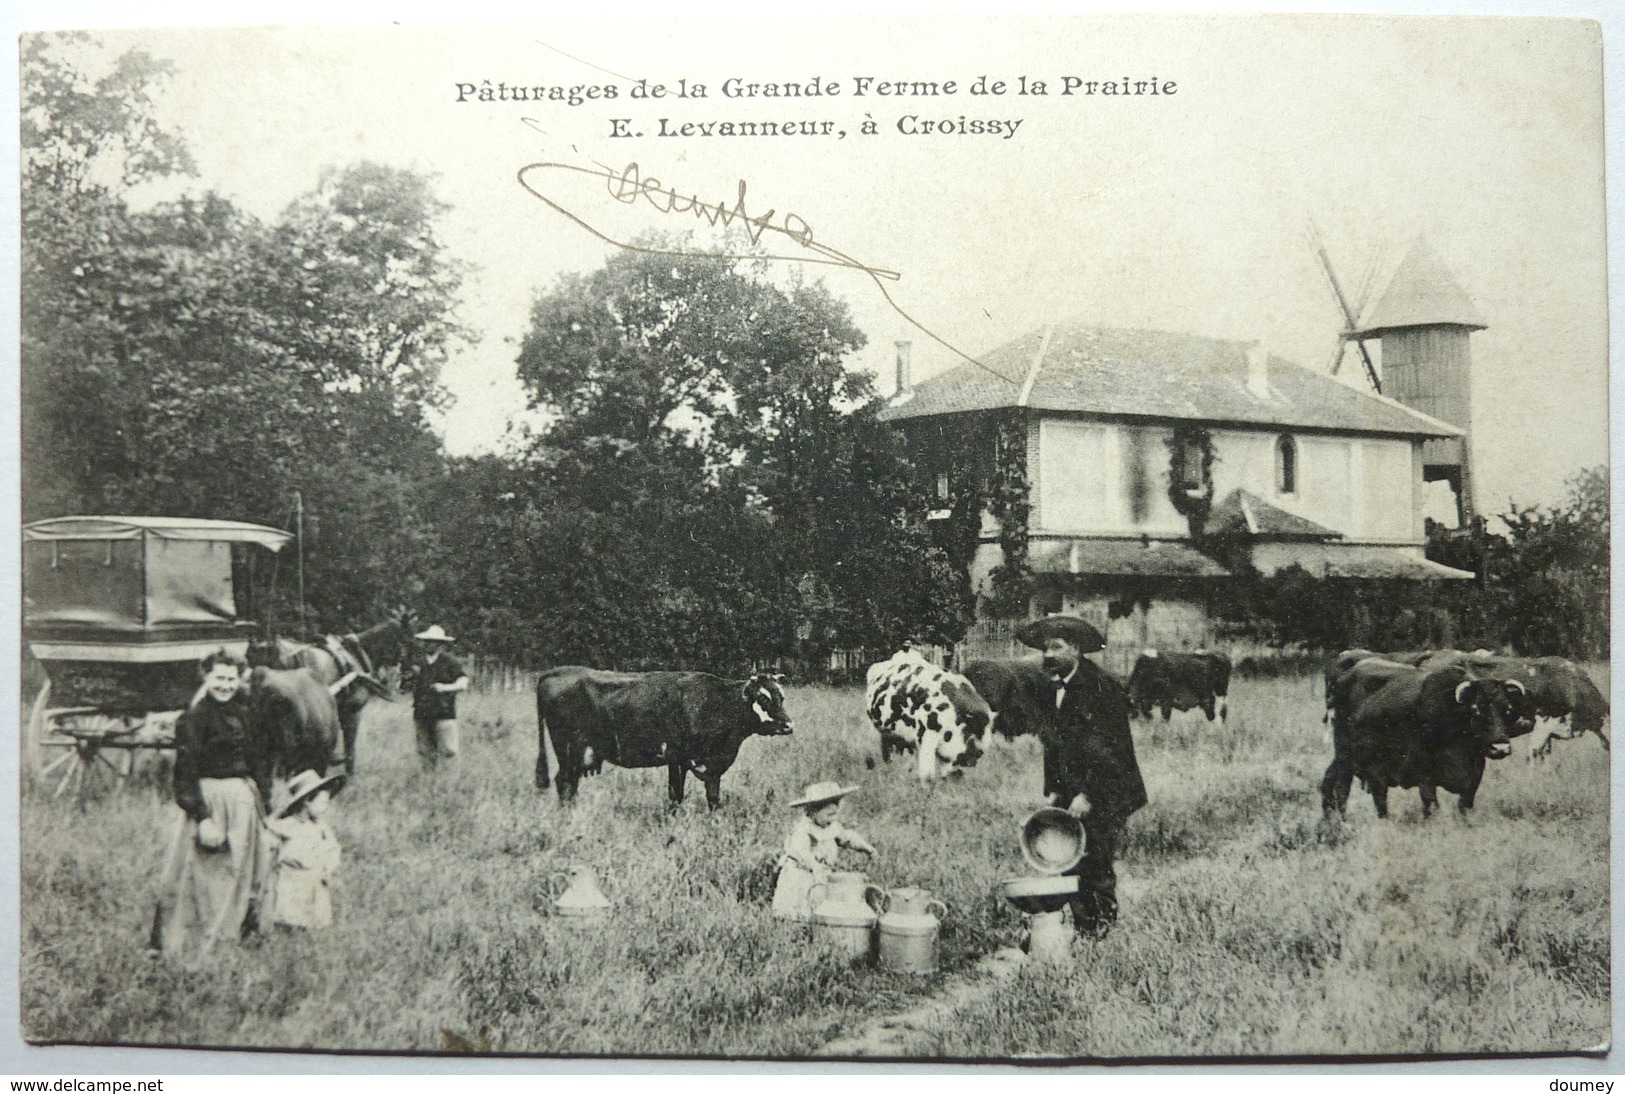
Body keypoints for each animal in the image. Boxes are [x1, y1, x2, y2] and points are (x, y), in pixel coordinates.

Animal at [247, 604, 416, 777]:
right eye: (411, 637)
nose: (410, 674)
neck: (358, 653)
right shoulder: (352, 713)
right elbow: (350, 750)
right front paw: (350, 776)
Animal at [536, 659, 789, 806]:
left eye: (781, 696)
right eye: (763, 698)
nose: (788, 724)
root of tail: (552, 673)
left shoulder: (710, 764)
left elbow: (712, 796)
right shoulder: (677, 757)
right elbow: (676, 795)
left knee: (570, 783)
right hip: (568, 748)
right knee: (564, 783)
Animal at [1319, 656, 1521, 819]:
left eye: (1507, 709)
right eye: (1476, 709)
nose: (1500, 748)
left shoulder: (1473, 779)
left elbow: (1463, 806)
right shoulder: (1426, 779)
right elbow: (1431, 807)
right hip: (1346, 759)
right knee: (1343, 789)